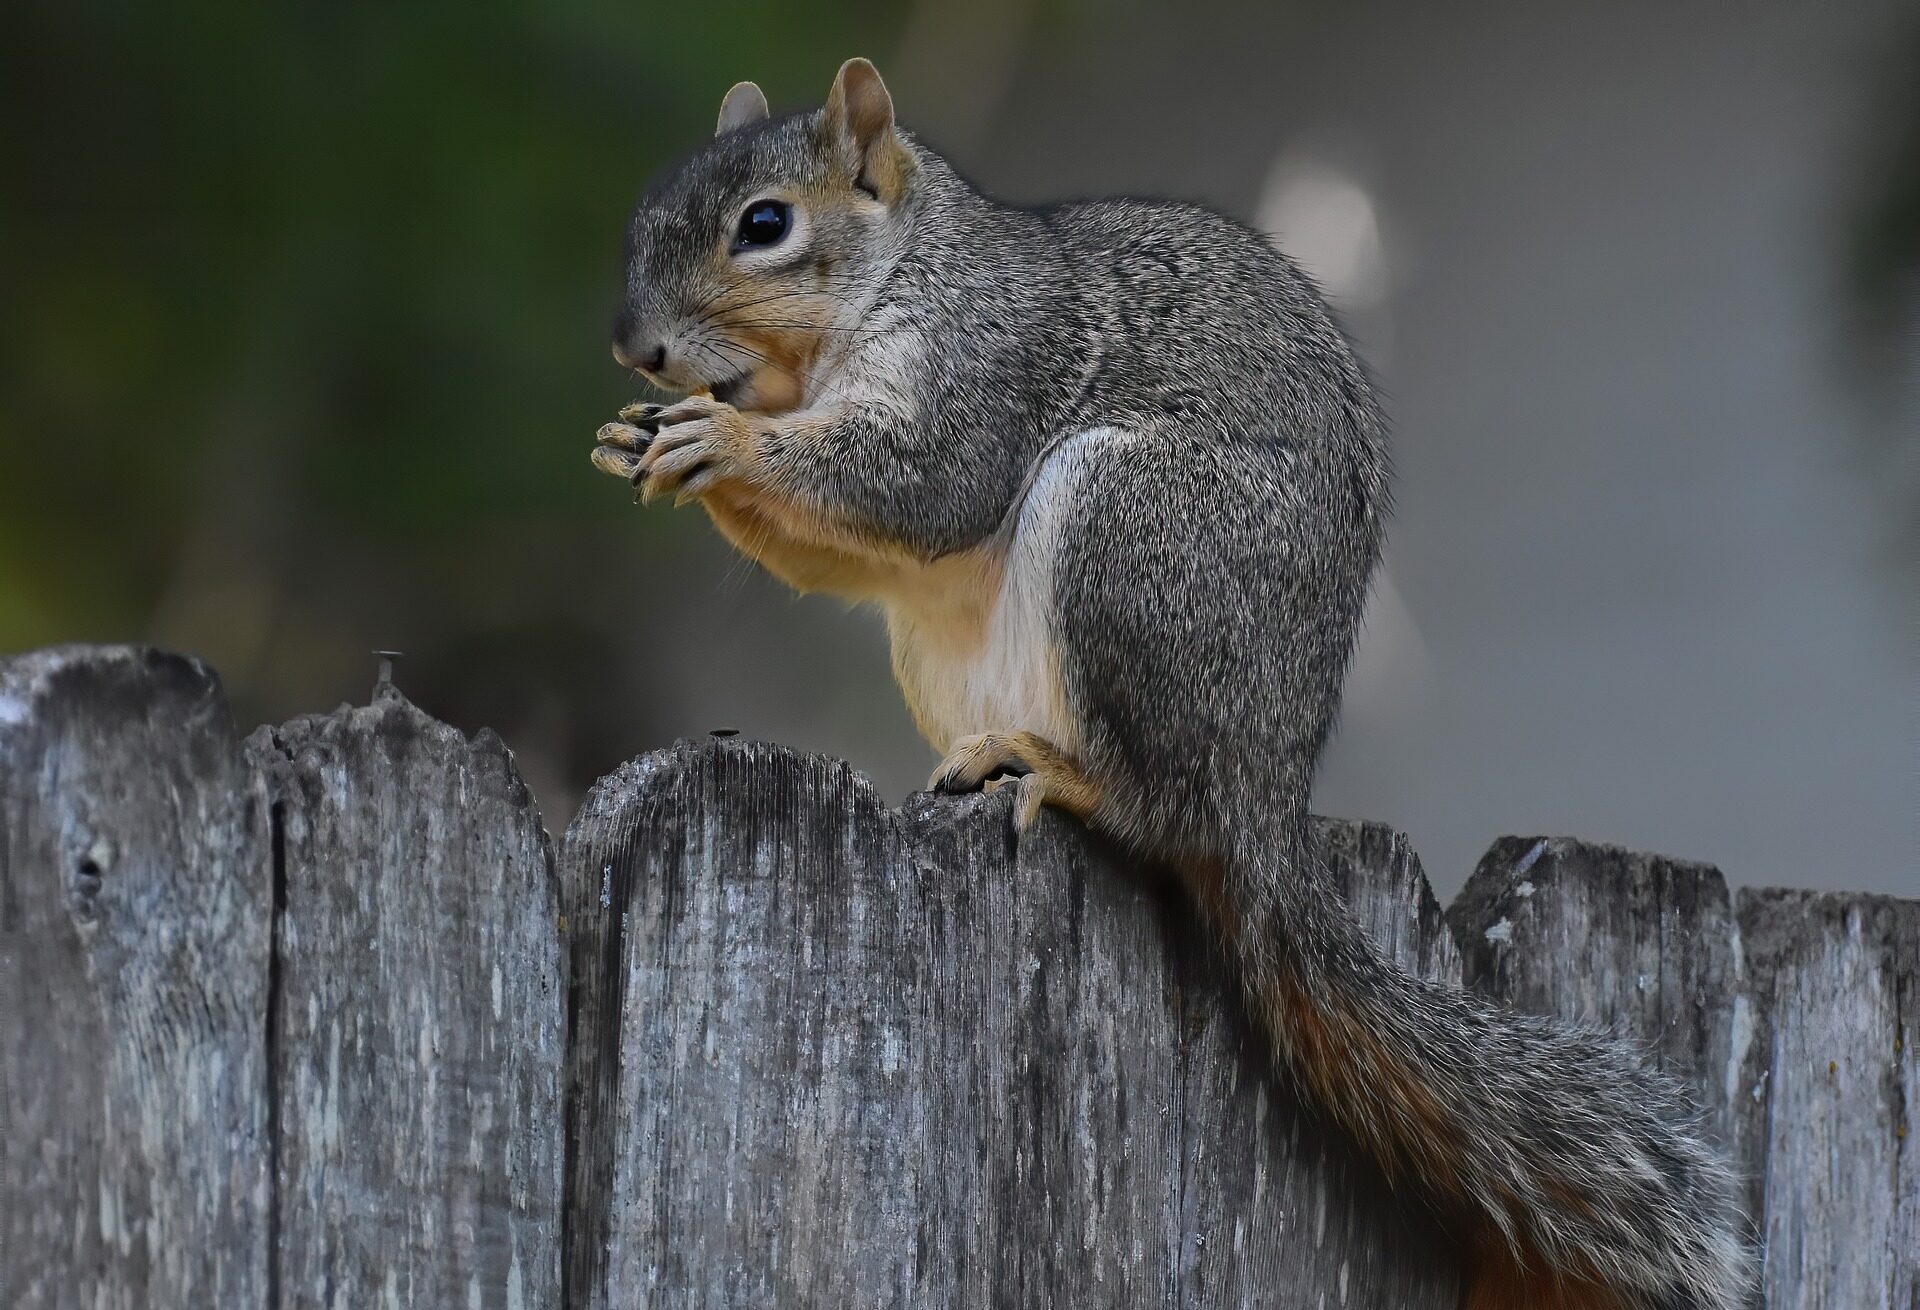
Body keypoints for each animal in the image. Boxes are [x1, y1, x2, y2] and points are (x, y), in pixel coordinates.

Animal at [587, 56, 1758, 1298]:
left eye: (765, 225)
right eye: (646, 211)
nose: (637, 352)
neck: (885, 286)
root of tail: (1264, 798)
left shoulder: (985, 363)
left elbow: (926, 484)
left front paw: (720, 442)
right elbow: (842, 550)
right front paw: (644, 438)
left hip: (1133, 540)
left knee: (1157, 805)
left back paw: (1059, 769)